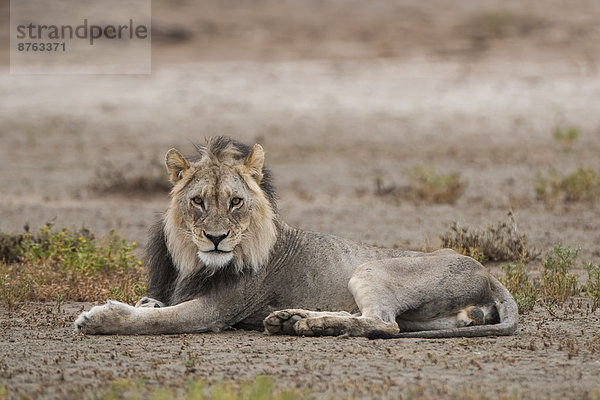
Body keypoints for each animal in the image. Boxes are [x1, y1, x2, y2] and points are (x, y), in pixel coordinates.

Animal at [74, 137, 516, 338]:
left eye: (235, 201)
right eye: (198, 201)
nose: (216, 238)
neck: (195, 259)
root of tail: (489, 274)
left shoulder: (215, 312)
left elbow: (157, 319)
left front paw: (101, 317)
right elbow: (154, 305)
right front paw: (144, 301)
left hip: (371, 267)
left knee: (383, 324)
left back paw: (309, 324)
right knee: (381, 321)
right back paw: (292, 319)